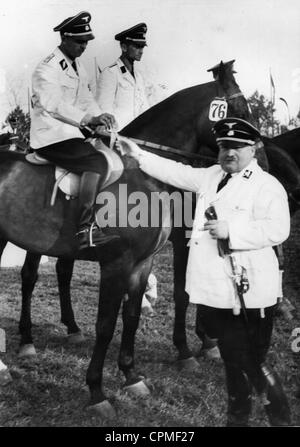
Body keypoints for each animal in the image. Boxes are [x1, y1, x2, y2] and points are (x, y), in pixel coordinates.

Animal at [0, 63, 300, 416]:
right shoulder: (117, 264)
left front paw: (132, 376)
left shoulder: (143, 262)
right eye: (240, 113)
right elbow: (106, 325)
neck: (145, 176)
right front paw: (97, 391)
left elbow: (131, 316)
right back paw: (26, 342)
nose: (260, 167)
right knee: (30, 277)